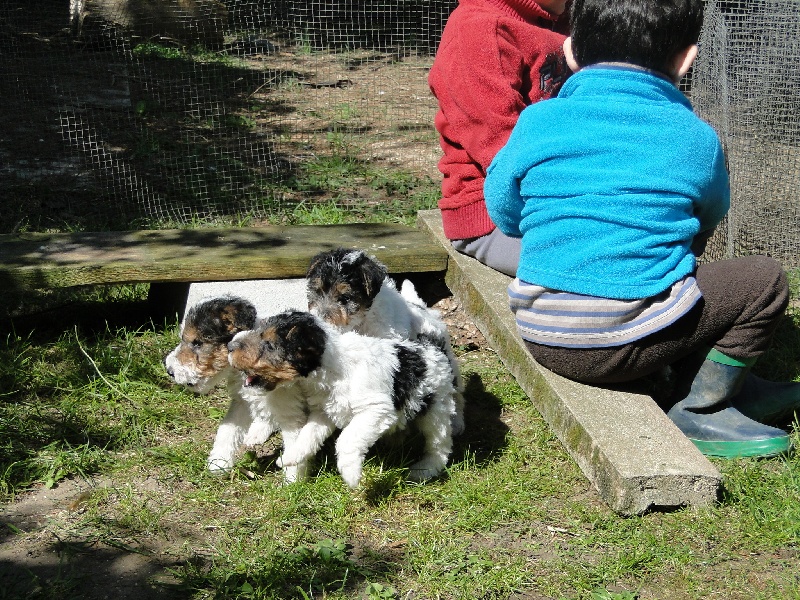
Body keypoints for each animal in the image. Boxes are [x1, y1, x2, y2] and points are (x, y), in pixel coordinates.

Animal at [228, 310, 460, 488]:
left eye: (268, 344)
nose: (230, 347)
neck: (334, 369)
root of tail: (432, 346)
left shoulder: (375, 409)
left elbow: (347, 439)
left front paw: (351, 475)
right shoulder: (324, 412)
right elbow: (307, 435)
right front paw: (291, 457)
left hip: (435, 410)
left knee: (440, 444)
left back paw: (424, 469)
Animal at [306, 248, 468, 436]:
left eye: (344, 298)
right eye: (317, 291)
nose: (319, 318)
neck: (361, 322)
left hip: (448, 361)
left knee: (457, 393)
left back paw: (457, 423)